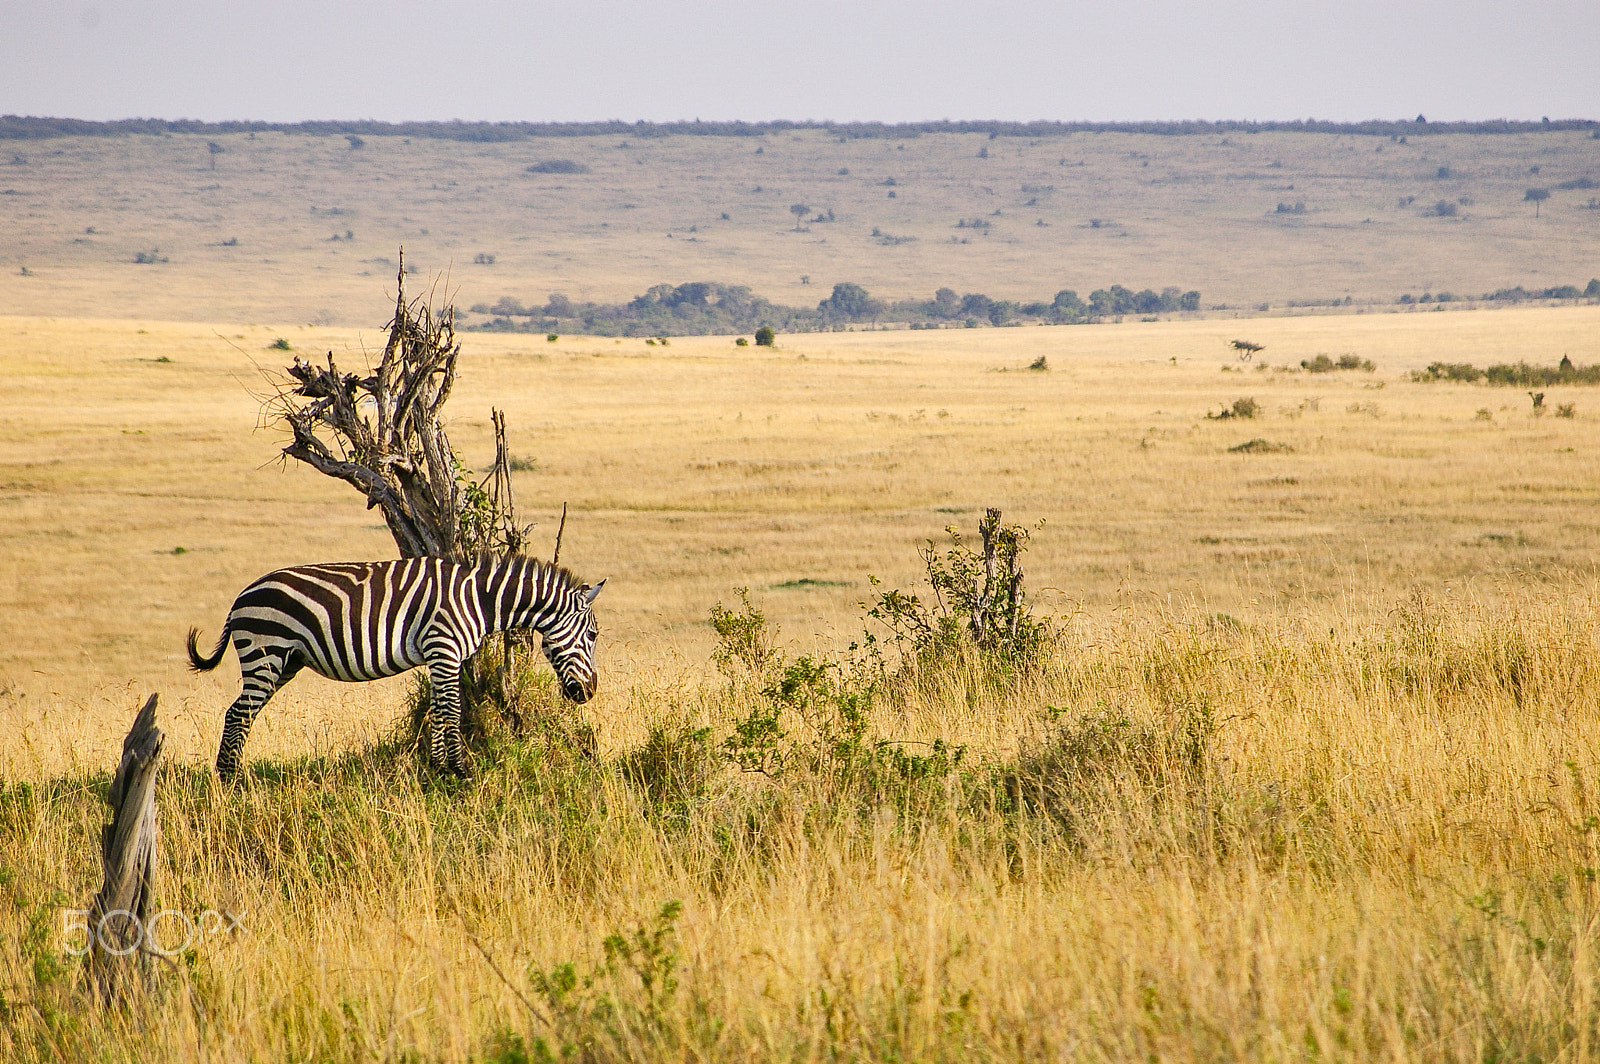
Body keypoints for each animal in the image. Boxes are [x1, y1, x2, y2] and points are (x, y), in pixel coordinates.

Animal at [187, 556, 601, 780]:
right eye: (594, 635)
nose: (589, 693)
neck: (480, 599)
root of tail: (241, 598)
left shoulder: (439, 655)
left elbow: (437, 710)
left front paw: (437, 767)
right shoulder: (444, 647)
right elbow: (452, 710)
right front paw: (461, 770)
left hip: (285, 661)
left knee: (243, 713)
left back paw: (233, 775)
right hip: (266, 651)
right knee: (238, 714)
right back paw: (230, 781)